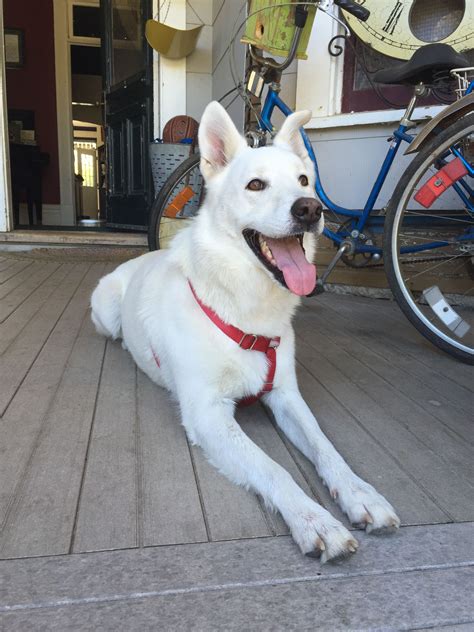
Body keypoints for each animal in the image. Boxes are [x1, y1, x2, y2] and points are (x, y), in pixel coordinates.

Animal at [90, 103, 400, 564]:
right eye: (256, 184)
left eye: (304, 181)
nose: (310, 209)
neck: (247, 310)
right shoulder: (208, 413)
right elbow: (273, 468)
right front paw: (314, 520)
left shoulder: (286, 395)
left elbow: (325, 447)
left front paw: (360, 494)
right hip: (106, 310)